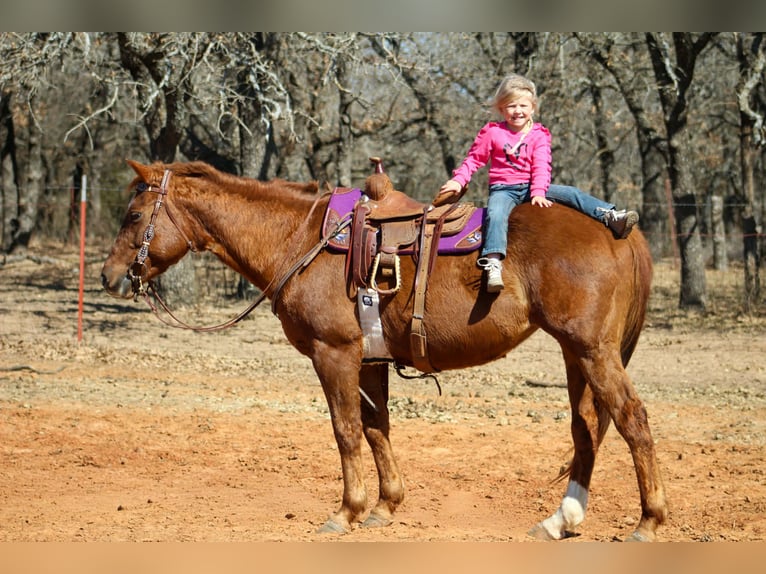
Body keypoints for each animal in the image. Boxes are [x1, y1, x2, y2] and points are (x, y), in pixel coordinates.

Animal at [100, 159, 667, 541]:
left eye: (133, 215)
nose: (109, 276)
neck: (299, 240)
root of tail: (620, 227)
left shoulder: (334, 354)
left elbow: (346, 431)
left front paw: (345, 511)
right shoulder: (370, 360)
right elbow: (376, 429)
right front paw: (385, 506)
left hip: (592, 349)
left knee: (632, 419)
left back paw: (648, 521)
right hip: (576, 354)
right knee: (588, 427)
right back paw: (560, 520)